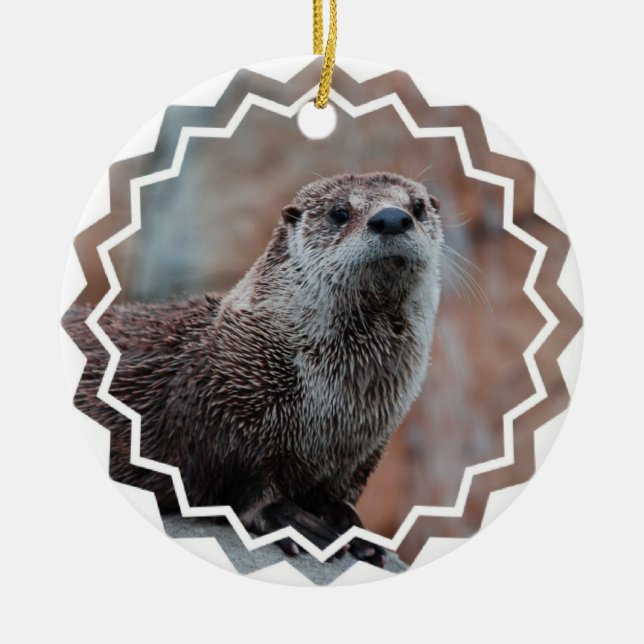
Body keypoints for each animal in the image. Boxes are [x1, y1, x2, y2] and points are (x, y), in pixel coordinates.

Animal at [65, 172, 443, 567]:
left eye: (417, 207)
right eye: (340, 213)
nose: (392, 218)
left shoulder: (365, 445)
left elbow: (338, 491)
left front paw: (351, 526)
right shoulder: (219, 412)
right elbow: (238, 484)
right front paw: (292, 520)